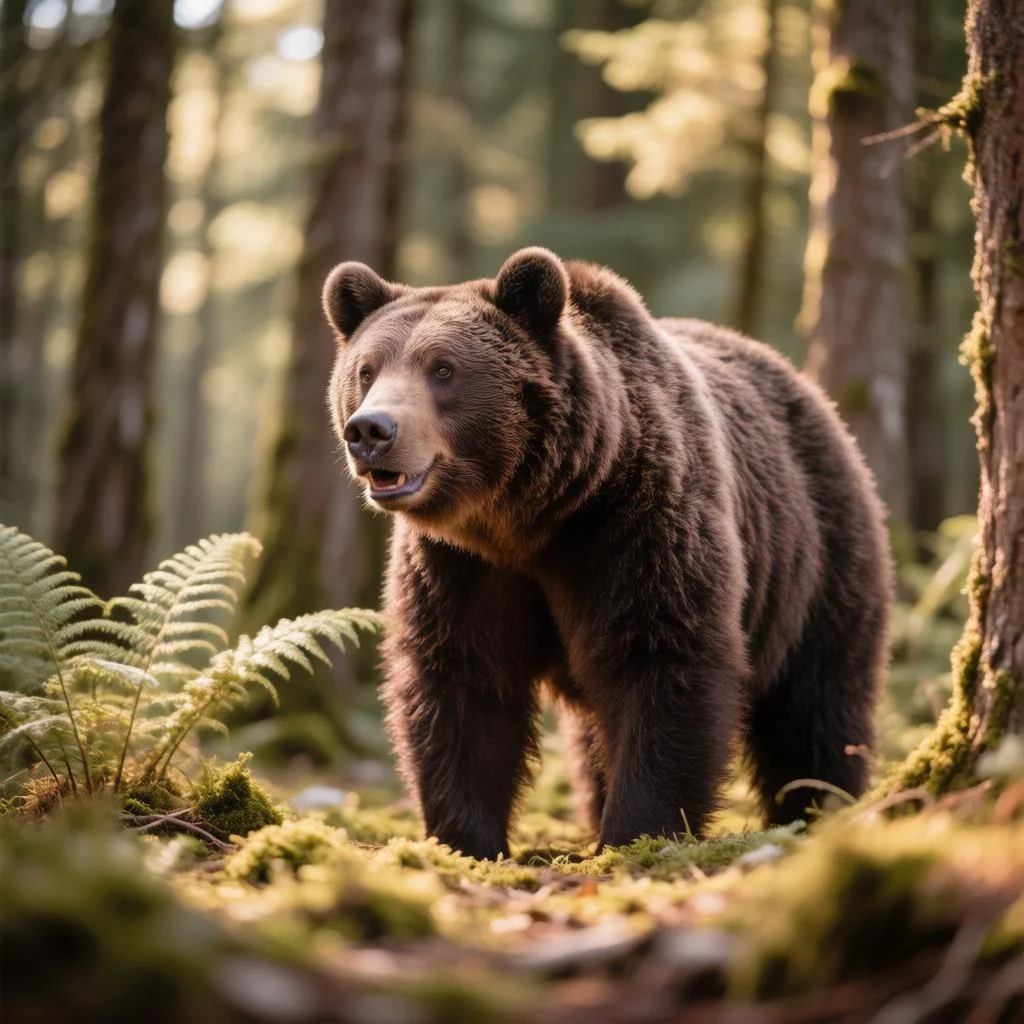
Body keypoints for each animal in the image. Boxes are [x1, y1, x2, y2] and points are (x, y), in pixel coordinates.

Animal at [322, 247, 892, 860]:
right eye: (367, 370)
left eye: (443, 368)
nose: (370, 430)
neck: (531, 518)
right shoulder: (461, 566)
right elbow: (462, 680)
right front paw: (466, 839)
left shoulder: (636, 527)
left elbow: (662, 658)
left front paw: (637, 831)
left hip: (817, 554)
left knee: (817, 703)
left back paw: (817, 807)